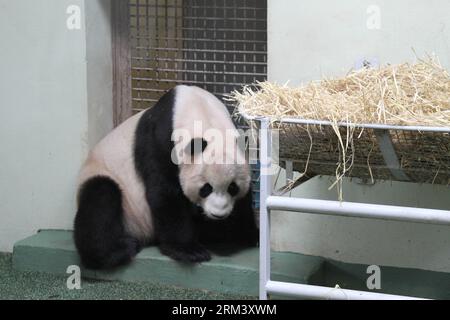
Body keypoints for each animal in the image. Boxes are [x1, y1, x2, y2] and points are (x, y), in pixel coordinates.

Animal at [73, 84, 256, 268]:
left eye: (233, 187)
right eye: (206, 188)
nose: (219, 214)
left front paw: (248, 234)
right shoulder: (158, 143)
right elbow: (165, 193)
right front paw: (189, 250)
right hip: (110, 185)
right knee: (101, 199)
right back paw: (118, 251)